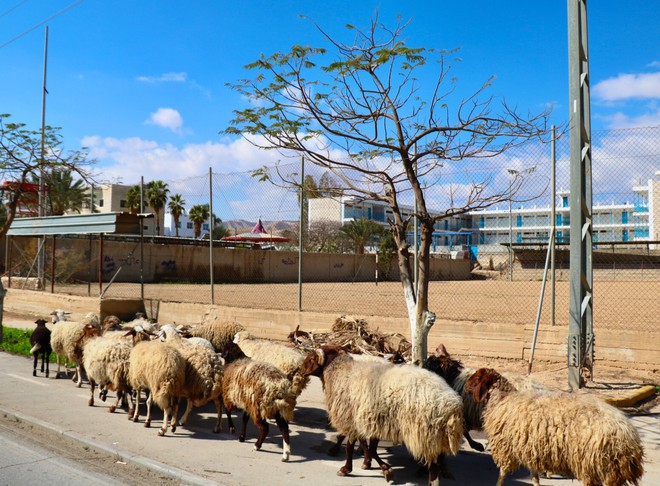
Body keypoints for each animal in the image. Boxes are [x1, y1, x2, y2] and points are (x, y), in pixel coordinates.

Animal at [302, 344, 466, 484]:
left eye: (310, 359)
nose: (300, 371)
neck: (340, 370)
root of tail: (451, 406)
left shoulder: (351, 419)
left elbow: (351, 446)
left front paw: (347, 469)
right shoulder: (372, 421)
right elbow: (370, 447)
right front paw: (381, 467)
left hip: (425, 434)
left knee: (434, 466)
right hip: (435, 436)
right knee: (437, 462)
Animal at [464, 368, 644, 486]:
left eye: (477, 378)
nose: (464, 387)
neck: (503, 398)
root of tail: (628, 437)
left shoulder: (507, 447)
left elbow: (502, 473)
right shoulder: (529, 447)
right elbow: (534, 476)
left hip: (595, 464)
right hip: (605, 468)